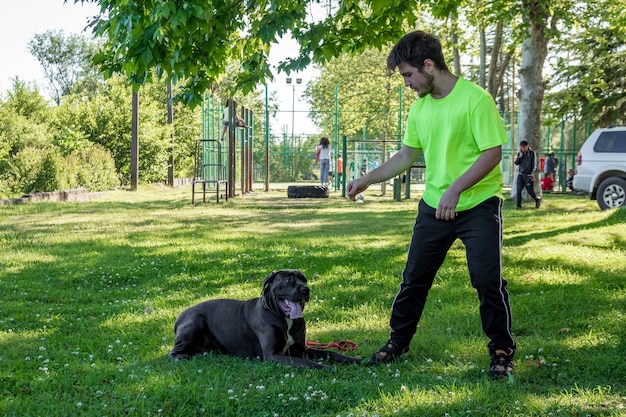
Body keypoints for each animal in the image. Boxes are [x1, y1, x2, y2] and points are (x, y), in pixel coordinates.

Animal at [168, 268, 360, 368]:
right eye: (288, 279)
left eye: (304, 279)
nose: (306, 289)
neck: (283, 318)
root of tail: (180, 315)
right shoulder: (273, 354)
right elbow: (307, 363)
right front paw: (327, 367)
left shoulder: (300, 348)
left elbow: (330, 352)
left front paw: (355, 360)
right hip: (194, 321)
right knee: (173, 352)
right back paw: (184, 357)